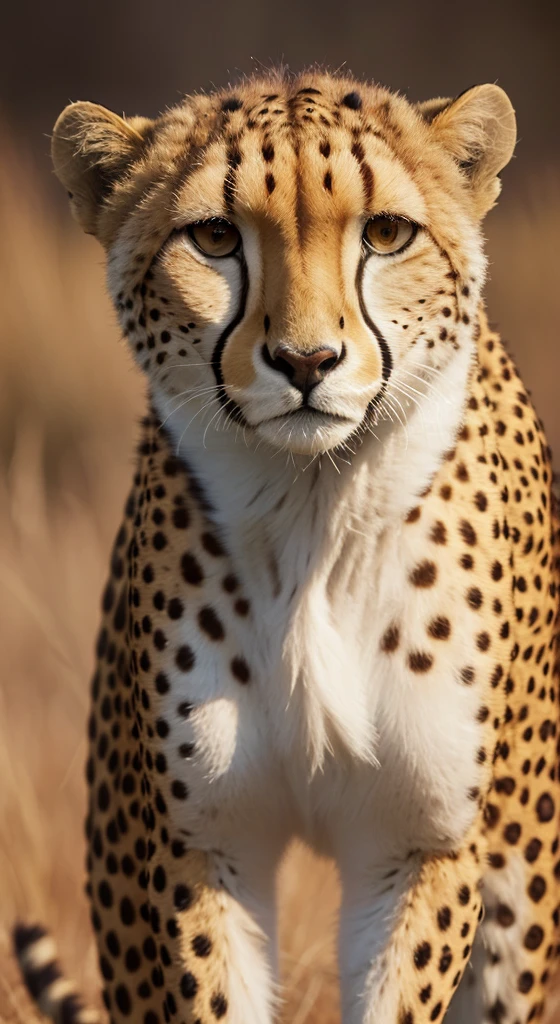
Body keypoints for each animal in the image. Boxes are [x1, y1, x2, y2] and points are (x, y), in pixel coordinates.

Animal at [15, 72, 560, 1024]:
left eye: (386, 233)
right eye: (214, 237)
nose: (307, 361)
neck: (316, 516)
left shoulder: (419, 843)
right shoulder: (199, 843)